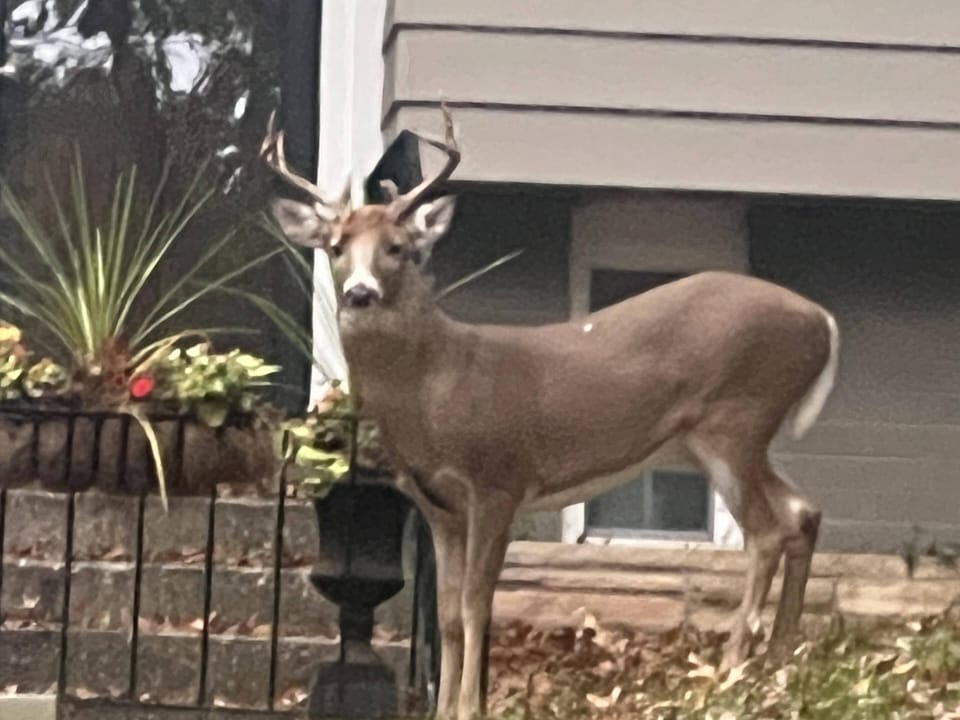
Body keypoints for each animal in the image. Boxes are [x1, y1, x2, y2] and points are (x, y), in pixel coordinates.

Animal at [262, 108, 840, 720]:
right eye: (336, 246)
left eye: (398, 246)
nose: (360, 293)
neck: (436, 387)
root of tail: (822, 321)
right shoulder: (437, 505)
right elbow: (446, 613)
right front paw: (445, 710)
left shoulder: (499, 480)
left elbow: (476, 604)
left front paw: (470, 708)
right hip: (724, 439)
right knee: (802, 512)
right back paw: (780, 660)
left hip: (737, 419)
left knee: (768, 531)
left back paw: (732, 673)